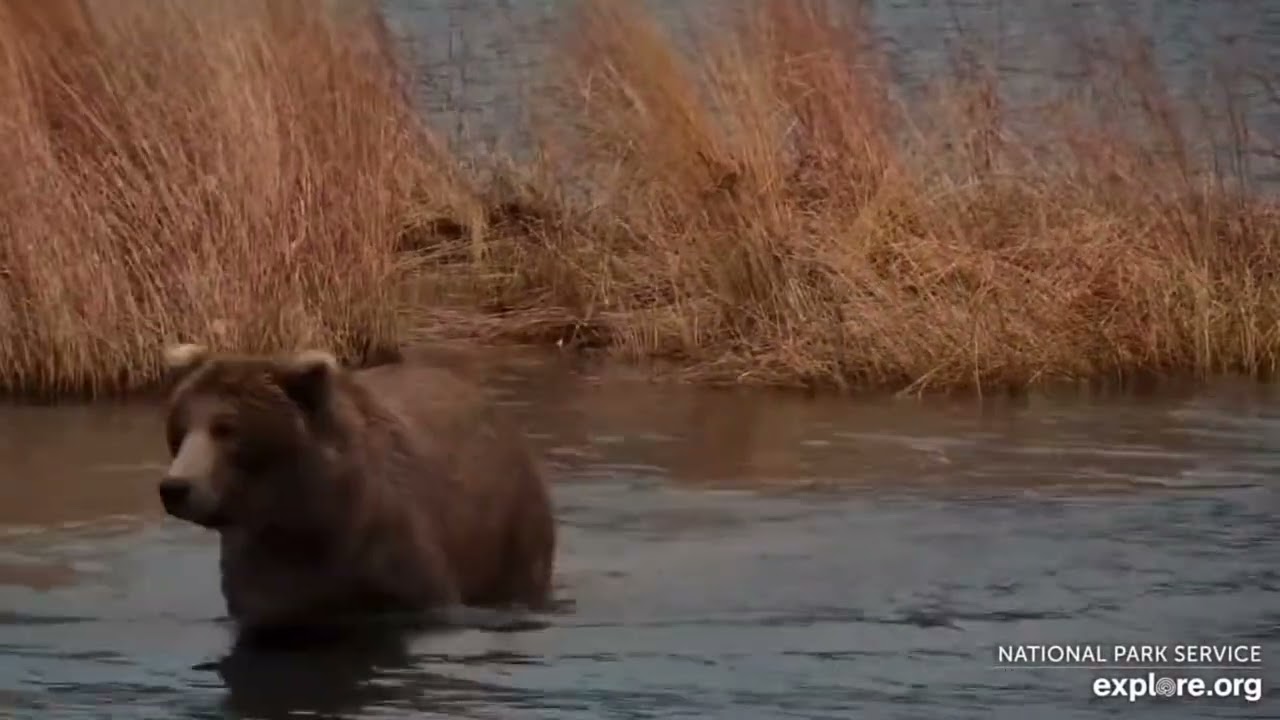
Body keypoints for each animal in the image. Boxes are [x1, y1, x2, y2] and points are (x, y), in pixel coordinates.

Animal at [155, 343, 556, 639]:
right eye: (180, 427)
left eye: (226, 428)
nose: (175, 487)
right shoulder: (265, 582)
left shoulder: (398, 563)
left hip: (510, 524)